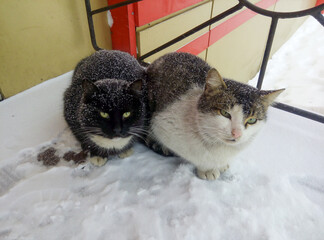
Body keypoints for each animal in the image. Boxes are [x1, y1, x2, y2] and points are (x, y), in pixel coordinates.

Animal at [146, 52, 282, 180]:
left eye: (252, 120)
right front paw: (208, 169)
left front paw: (221, 164)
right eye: (225, 113)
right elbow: (195, 155)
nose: (236, 134)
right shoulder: (163, 125)